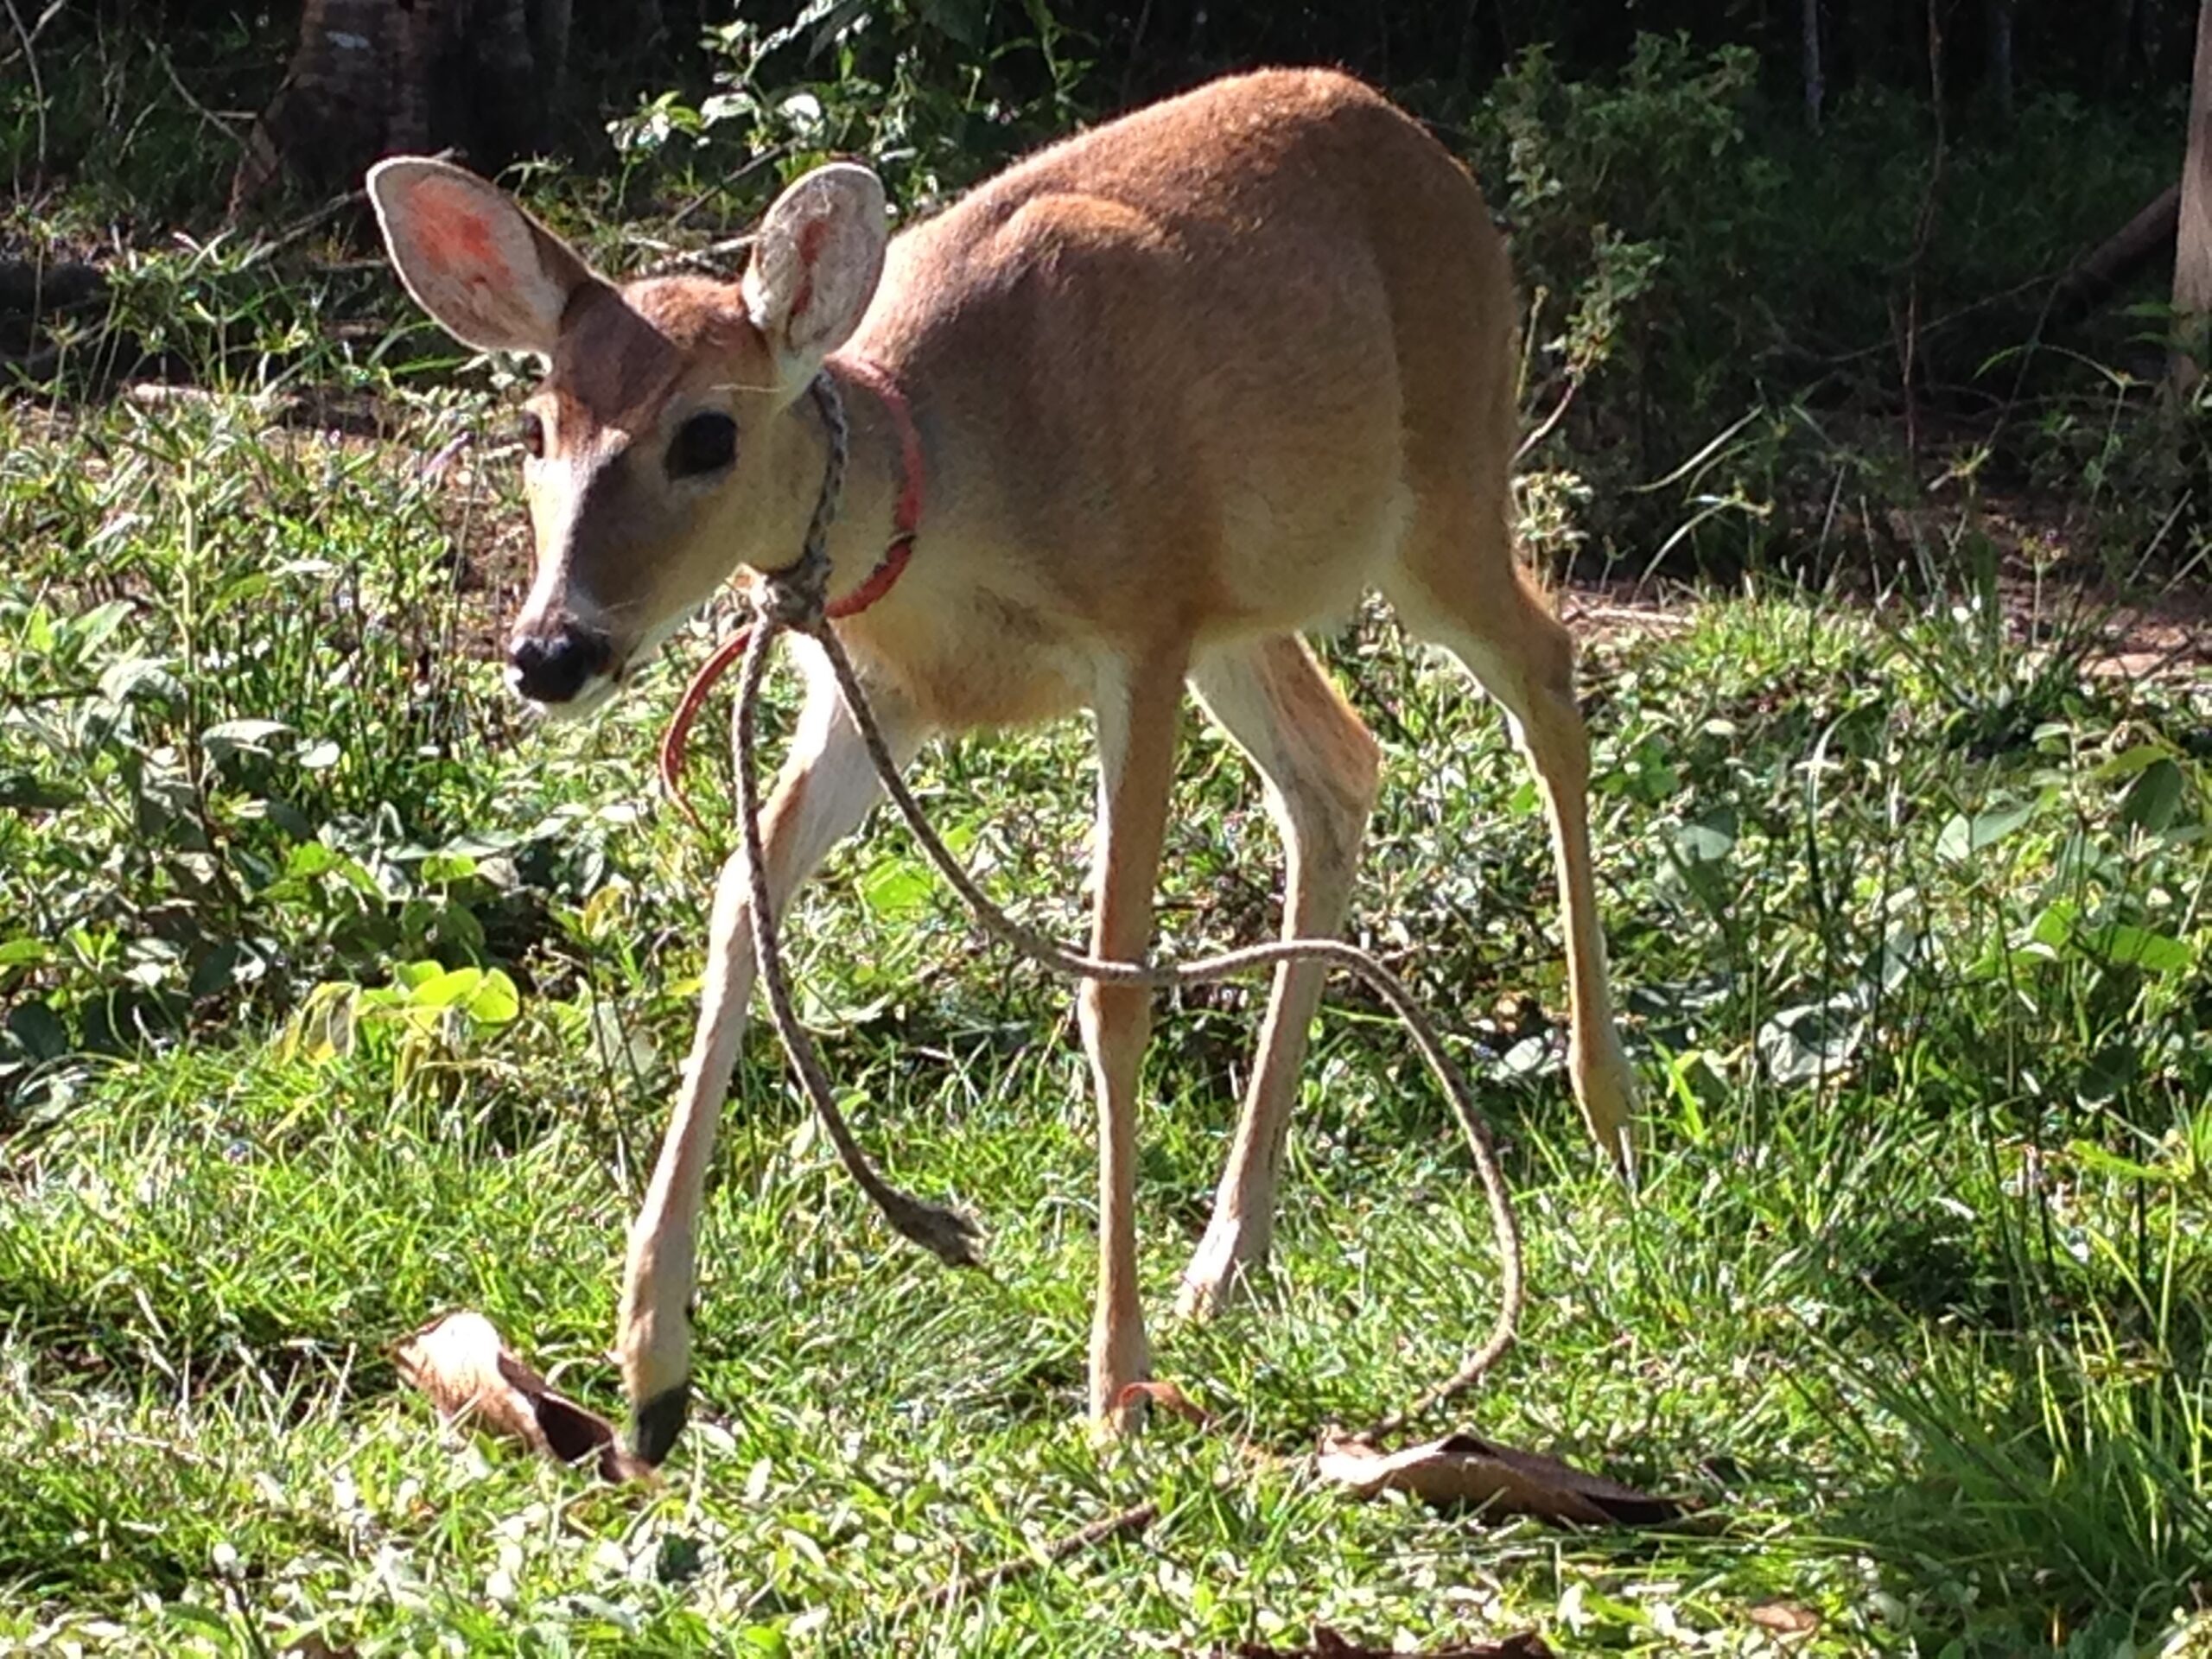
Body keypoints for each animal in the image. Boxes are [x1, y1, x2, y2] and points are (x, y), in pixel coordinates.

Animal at [367, 65, 1637, 1468]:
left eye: (705, 435)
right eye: (535, 428)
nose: (551, 649)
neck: (946, 491)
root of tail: (1422, 151)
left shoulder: (1137, 634)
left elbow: (1113, 994)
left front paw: (1115, 1381)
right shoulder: (875, 692)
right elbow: (739, 911)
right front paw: (651, 1370)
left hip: (1446, 485)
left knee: (1549, 675)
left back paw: (1608, 1117)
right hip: (1246, 614)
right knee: (1340, 771)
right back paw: (1229, 1254)